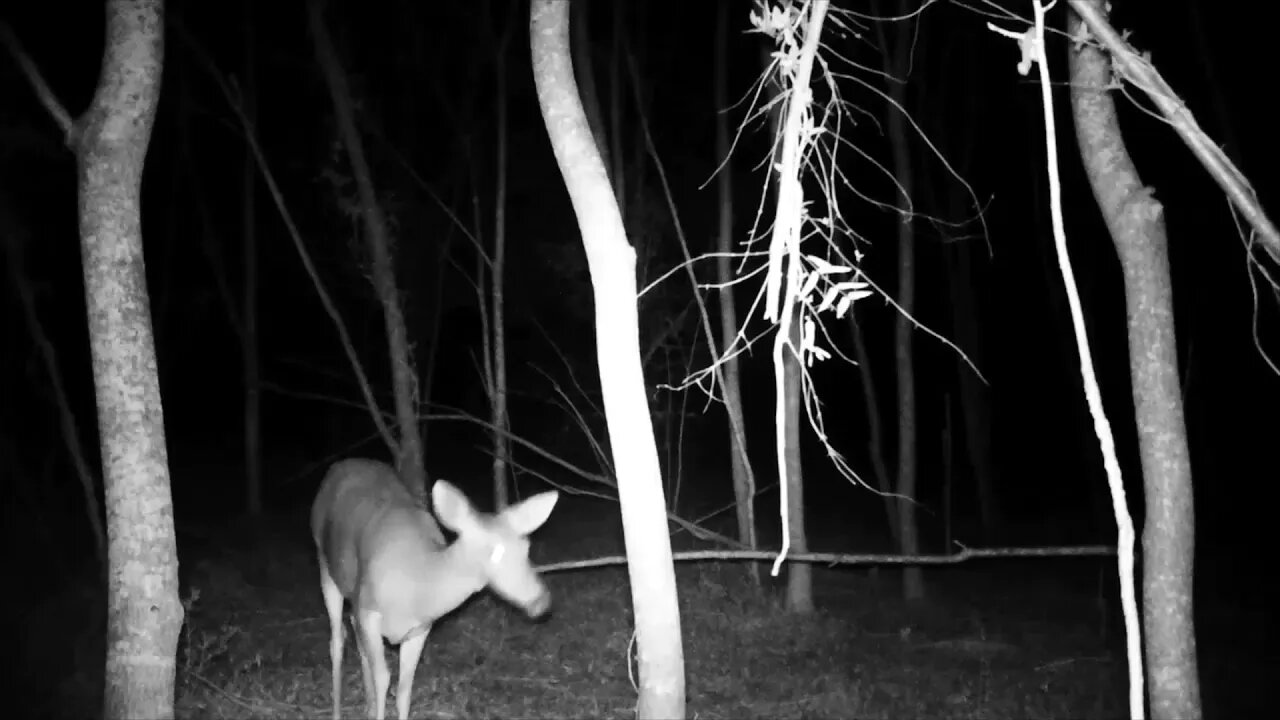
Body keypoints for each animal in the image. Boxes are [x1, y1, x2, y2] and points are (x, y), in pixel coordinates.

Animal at [311, 458, 560, 720]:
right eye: (492, 552)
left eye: (526, 548)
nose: (542, 601)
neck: (417, 584)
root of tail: (340, 466)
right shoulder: (369, 611)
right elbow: (383, 679)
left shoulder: (420, 629)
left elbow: (404, 690)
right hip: (325, 563)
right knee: (337, 641)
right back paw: (337, 711)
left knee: (354, 630)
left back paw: (366, 706)